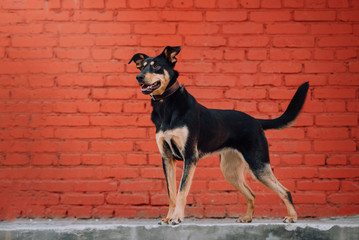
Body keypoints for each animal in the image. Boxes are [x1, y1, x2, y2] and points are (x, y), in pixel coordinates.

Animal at [129, 47, 310, 225]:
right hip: (230, 170)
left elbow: (181, 190)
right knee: (251, 194)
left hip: (258, 165)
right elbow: (171, 193)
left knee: (285, 191)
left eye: (156, 66)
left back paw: (292, 217)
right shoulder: (167, 158)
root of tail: (256, 121)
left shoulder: (190, 156)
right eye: (141, 67)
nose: (138, 77)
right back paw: (248, 217)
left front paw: (177, 217)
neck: (166, 105)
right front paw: (169, 216)